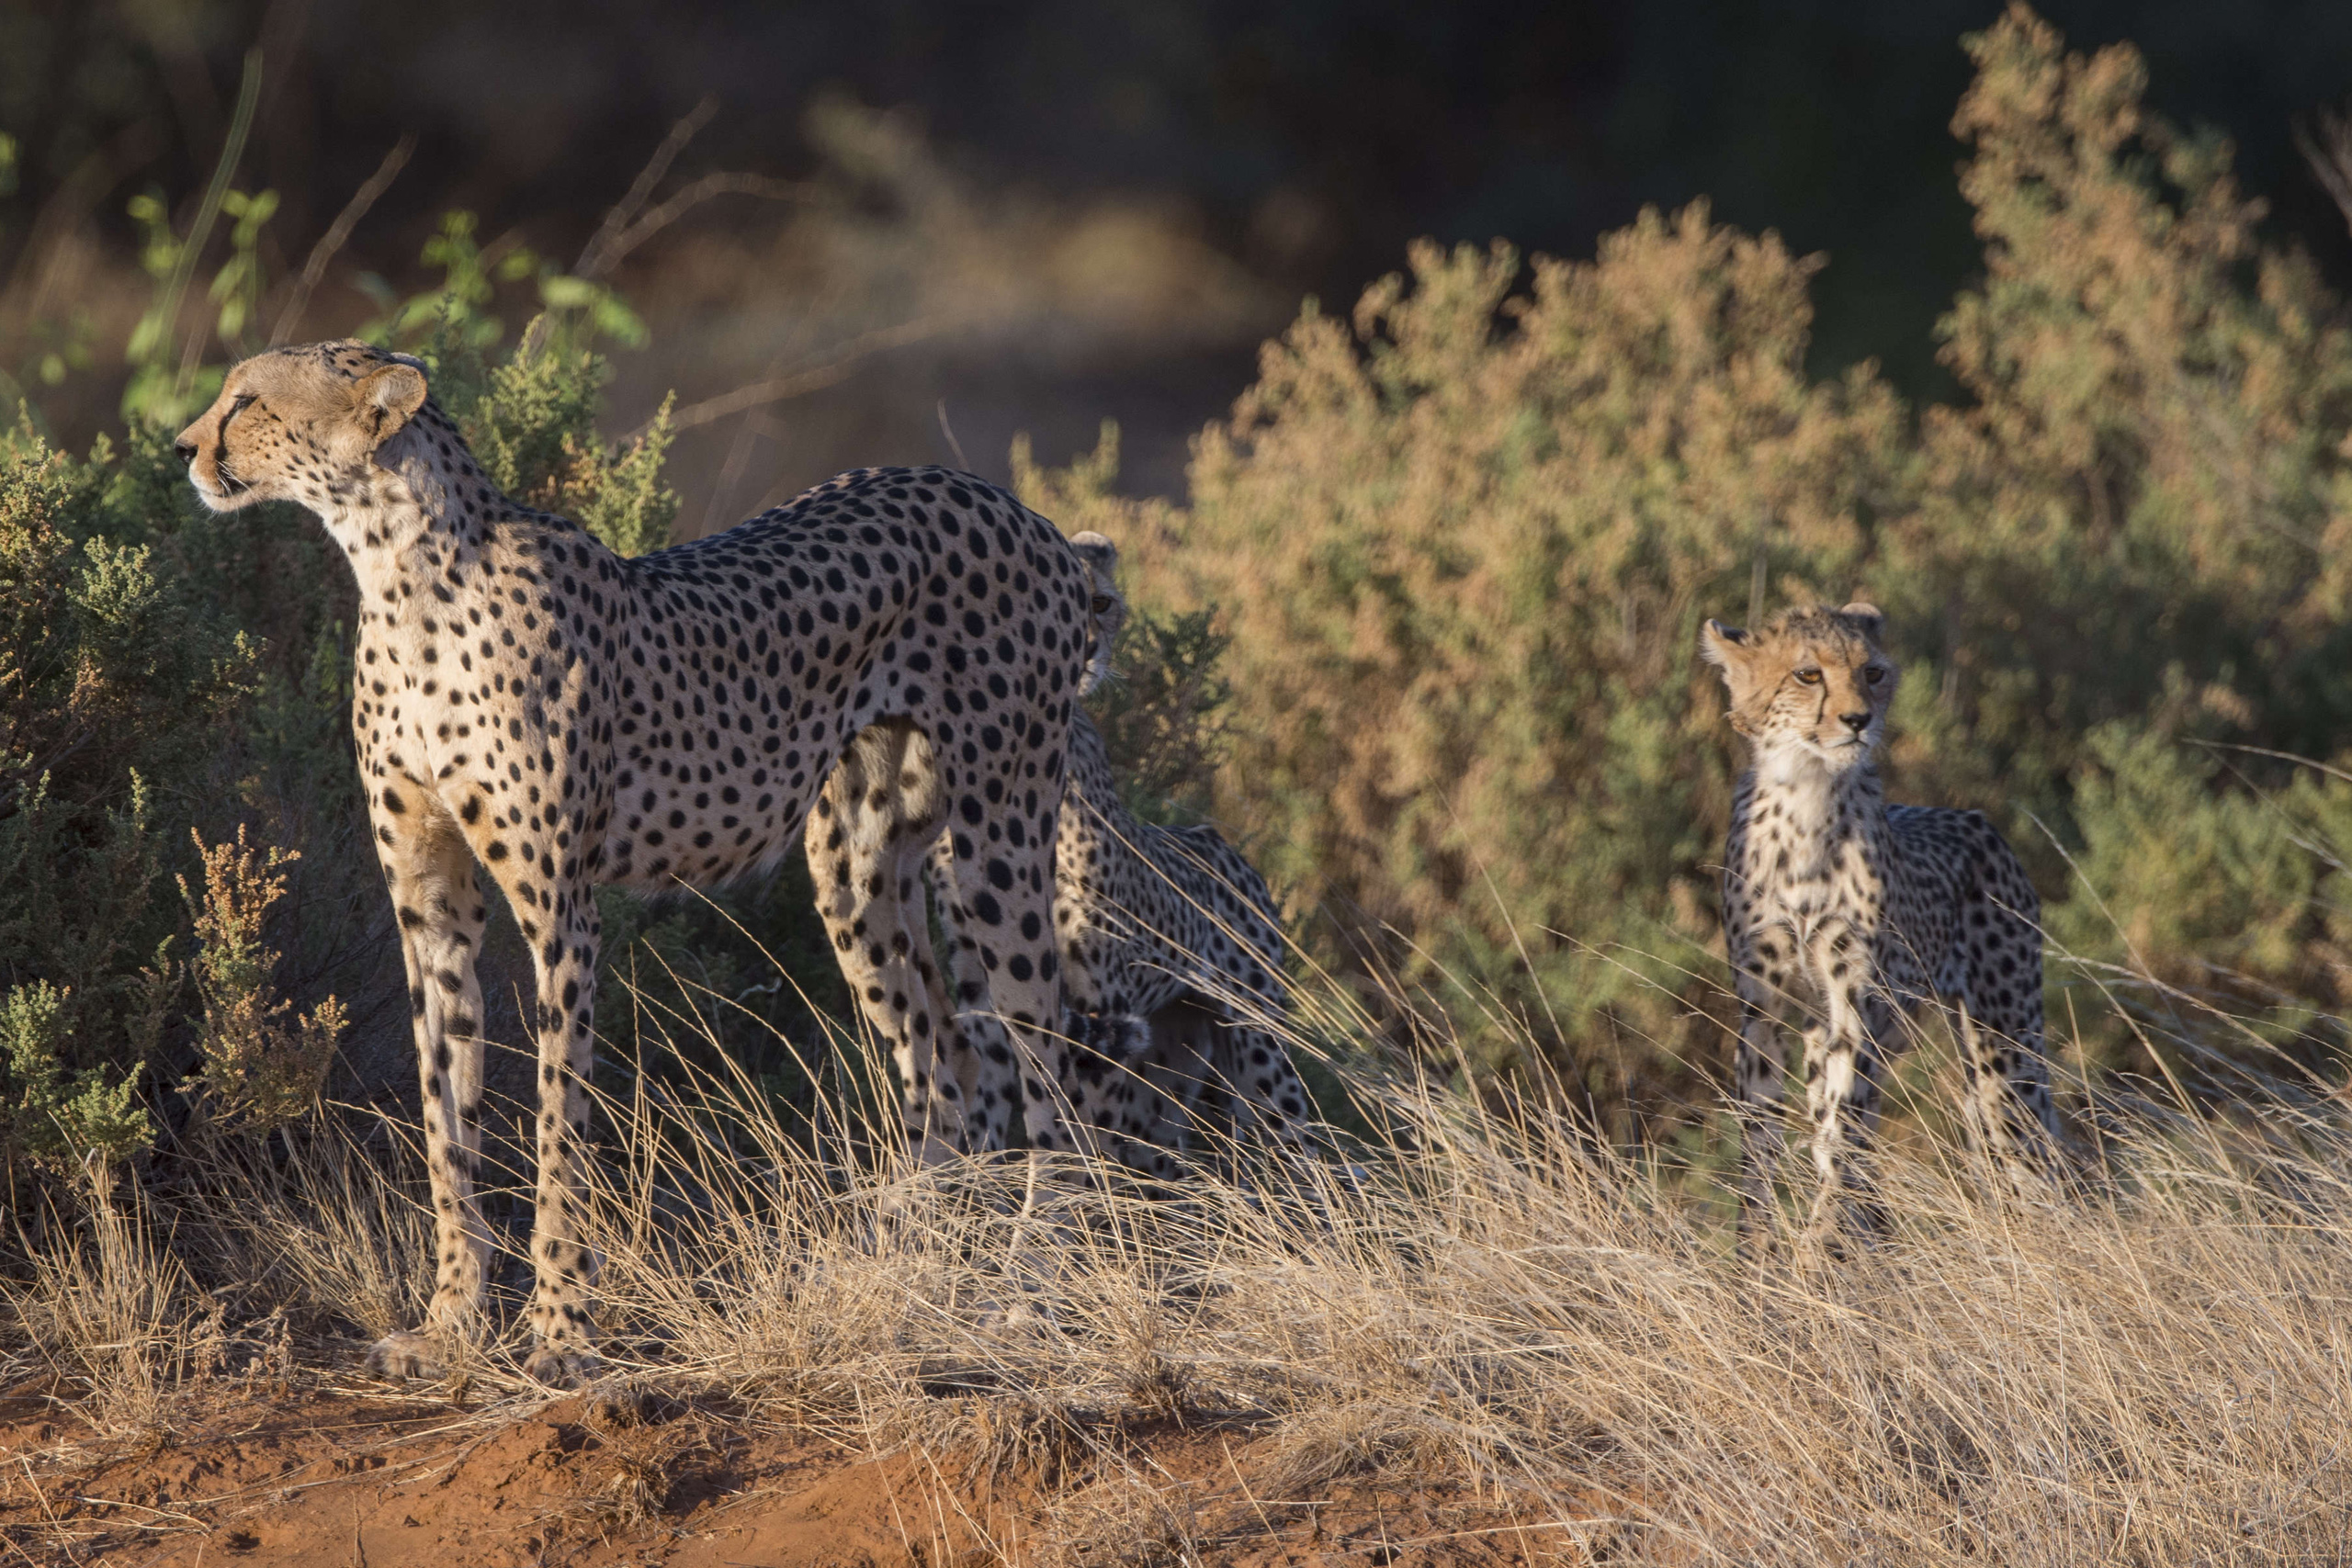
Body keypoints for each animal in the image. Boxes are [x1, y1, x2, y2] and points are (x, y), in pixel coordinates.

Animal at [174, 341, 1104, 1384]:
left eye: (247, 401)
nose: (182, 449)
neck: (401, 569)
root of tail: (1008, 504)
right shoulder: (429, 905)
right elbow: (445, 1117)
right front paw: (453, 1320)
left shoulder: (562, 915)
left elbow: (556, 1126)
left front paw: (559, 1333)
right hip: (851, 872)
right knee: (943, 1055)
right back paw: (916, 1269)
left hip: (998, 838)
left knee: (1047, 1057)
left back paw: (1032, 1287)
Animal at [1699, 601, 2058, 1250]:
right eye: (1808, 674)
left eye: (1872, 673)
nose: (1857, 720)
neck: (1808, 794)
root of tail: (1976, 818)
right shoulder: (1762, 1004)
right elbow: (1760, 1134)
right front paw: (1756, 1251)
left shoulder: (1854, 995)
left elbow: (1842, 1130)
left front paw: (1819, 1248)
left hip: (2004, 1045)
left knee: (2026, 1156)